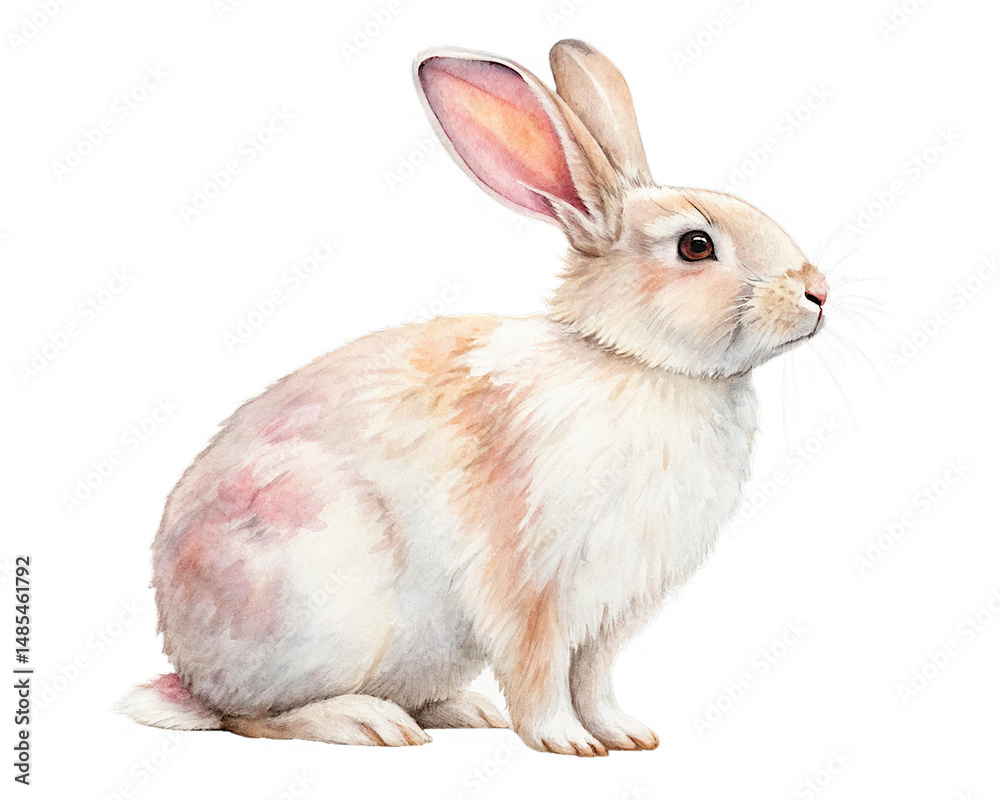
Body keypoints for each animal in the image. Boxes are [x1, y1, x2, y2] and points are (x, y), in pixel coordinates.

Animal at [116, 39, 829, 757]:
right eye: (695, 245)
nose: (818, 291)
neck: (640, 362)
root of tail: (187, 671)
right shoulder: (529, 584)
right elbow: (541, 669)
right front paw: (566, 744)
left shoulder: (612, 610)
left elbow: (595, 675)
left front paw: (625, 735)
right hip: (316, 599)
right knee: (249, 716)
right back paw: (366, 723)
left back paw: (463, 710)